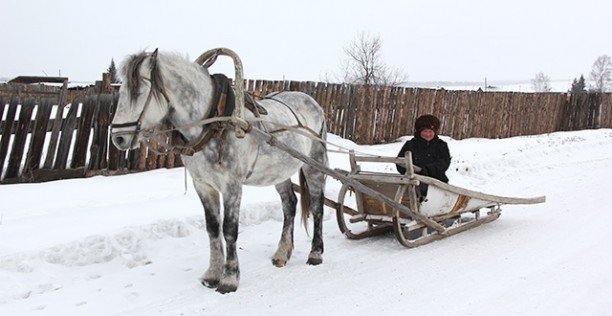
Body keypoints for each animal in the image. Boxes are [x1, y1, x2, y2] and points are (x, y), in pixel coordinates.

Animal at [112, 49, 328, 294]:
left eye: (138, 91)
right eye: (121, 90)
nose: (118, 138)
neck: (215, 122)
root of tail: (311, 100)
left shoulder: (232, 186)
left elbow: (229, 229)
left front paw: (229, 278)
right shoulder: (203, 185)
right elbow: (213, 228)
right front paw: (212, 274)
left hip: (314, 163)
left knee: (317, 206)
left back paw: (316, 253)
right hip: (279, 170)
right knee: (289, 205)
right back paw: (282, 253)